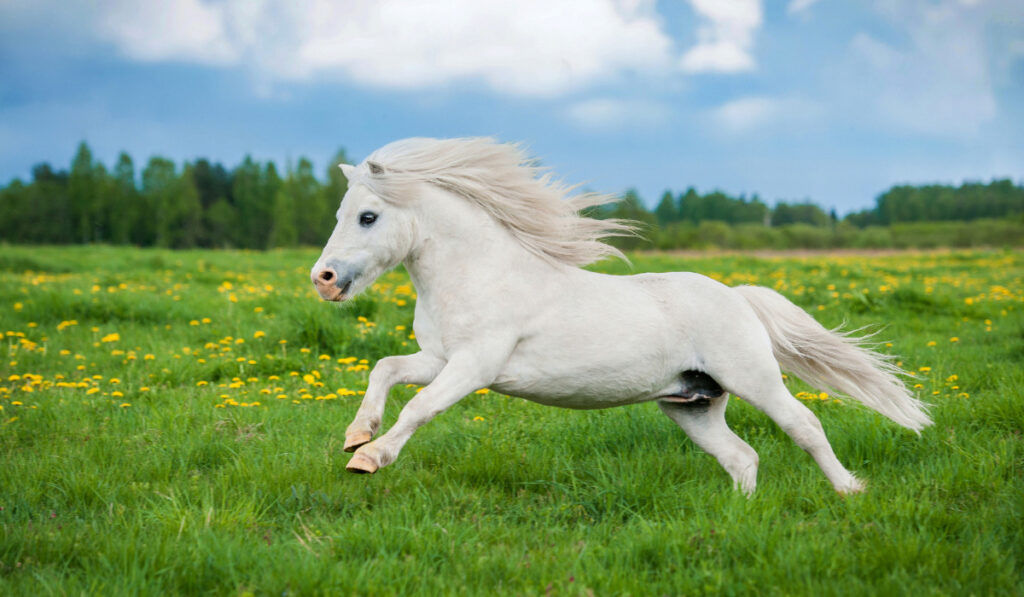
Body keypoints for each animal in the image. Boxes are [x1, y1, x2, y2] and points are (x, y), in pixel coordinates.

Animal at [309, 136, 929, 495]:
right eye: (340, 213)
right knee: (742, 457)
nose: (324, 279)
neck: (481, 274)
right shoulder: (439, 357)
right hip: (692, 405)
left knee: (804, 426)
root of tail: (737, 295)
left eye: (367, 216)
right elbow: (386, 369)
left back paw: (850, 491)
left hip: (754, 379)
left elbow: (420, 407)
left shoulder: (475, 366)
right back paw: (741, 516)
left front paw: (370, 459)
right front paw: (355, 435)